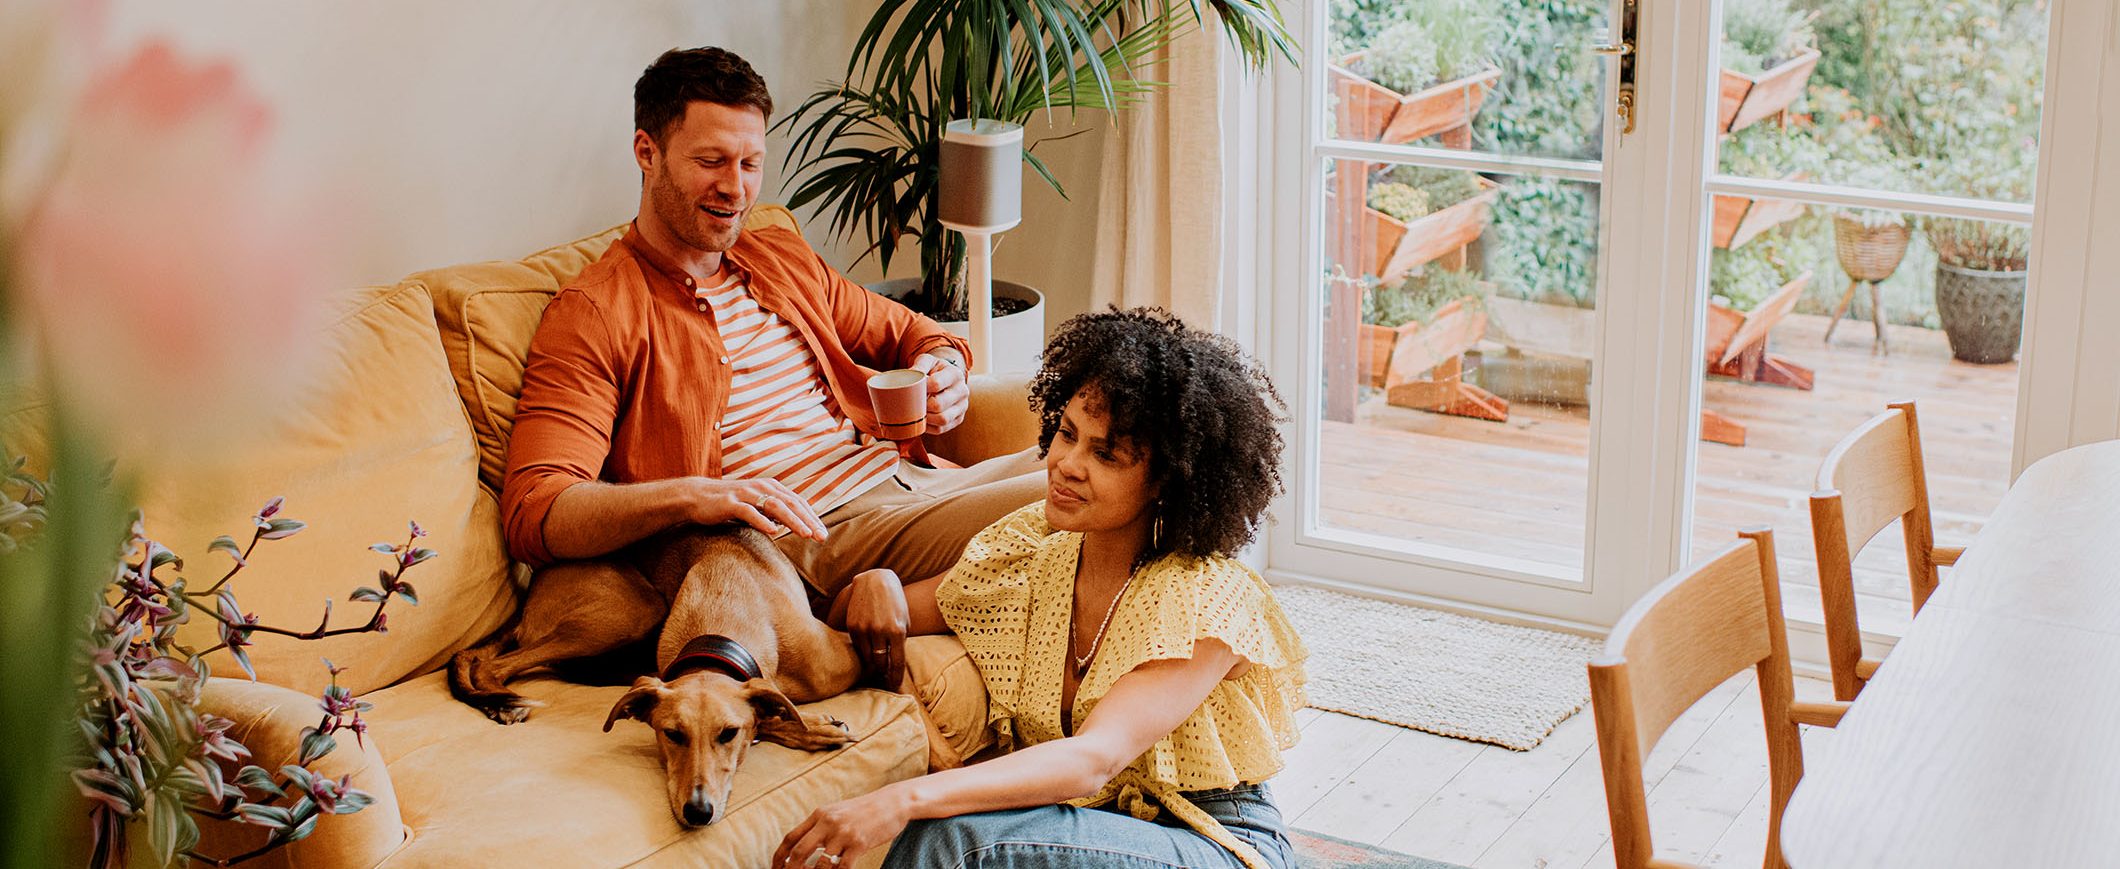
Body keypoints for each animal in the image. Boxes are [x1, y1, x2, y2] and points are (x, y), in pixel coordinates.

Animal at [447, 523, 962, 826]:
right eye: (670, 734)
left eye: (726, 733)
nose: (697, 812)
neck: (719, 621)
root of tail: (530, 593)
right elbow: (775, 712)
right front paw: (816, 728)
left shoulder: (863, 645)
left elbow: (911, 704)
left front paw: (949, 764)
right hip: (625, 615)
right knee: (493, 662)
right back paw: (501, 702)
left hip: (629, 616)